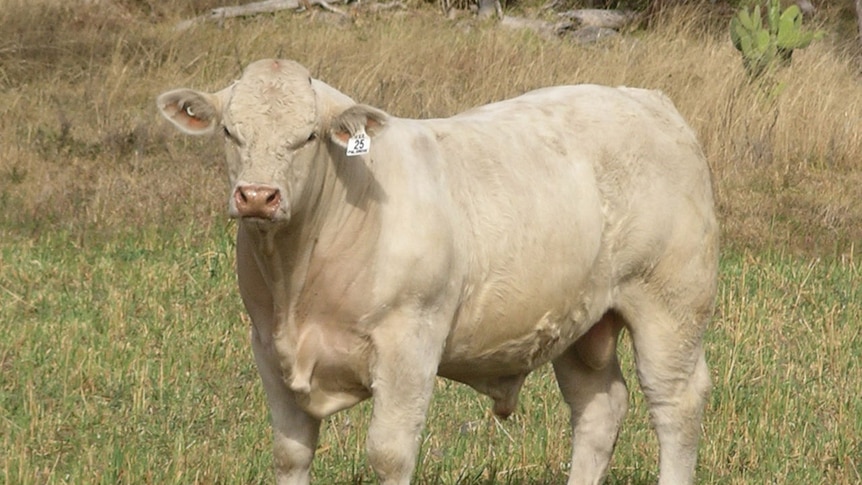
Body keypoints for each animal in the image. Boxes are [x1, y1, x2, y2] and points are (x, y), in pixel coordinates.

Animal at [159, 58, 720, 482]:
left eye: (309, 136)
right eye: (229, 131)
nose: (257, 196)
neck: (295, 280)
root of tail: (646, 99)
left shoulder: (410, 341)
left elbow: (389, 455)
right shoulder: (267, 345)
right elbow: (290, 454)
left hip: (671, 305)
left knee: (675, 404)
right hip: (583, 322)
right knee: (599, 409)